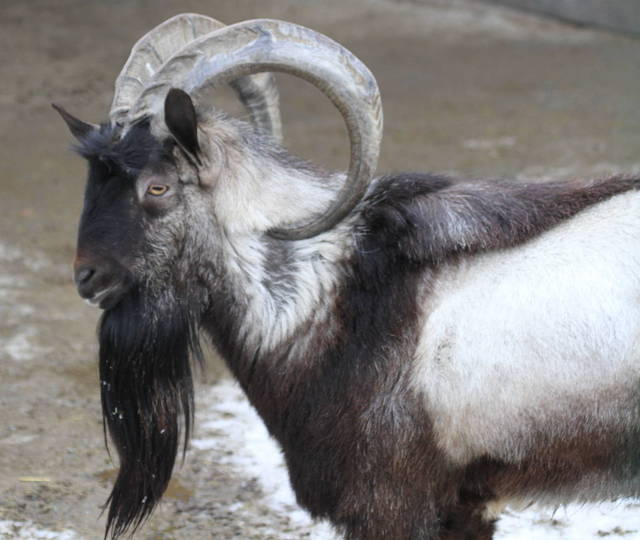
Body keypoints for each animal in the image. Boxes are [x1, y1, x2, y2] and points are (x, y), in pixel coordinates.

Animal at [54, 13, 640, 540]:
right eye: (92, 180)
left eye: (158, 186)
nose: (88, 277)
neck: (324, 296)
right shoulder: (466, 506)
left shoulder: (393, 503)